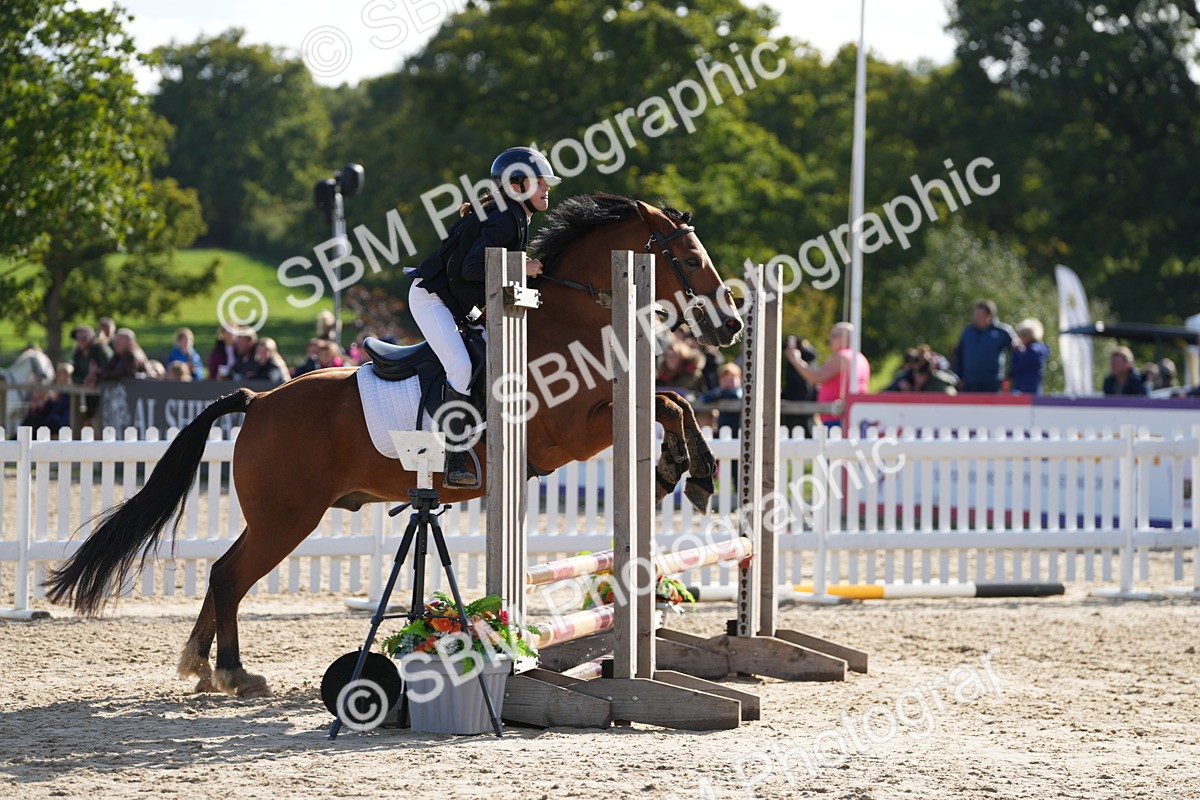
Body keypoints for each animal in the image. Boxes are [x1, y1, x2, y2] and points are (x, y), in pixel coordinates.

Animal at [44, 193, 744, 698]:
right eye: (689, 258)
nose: (733, 325)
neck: (561, 322)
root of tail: (261, 400)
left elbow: (673, 400)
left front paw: (688, 469)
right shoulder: (570, 432)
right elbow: (666, 402)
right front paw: (692, 472)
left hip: (279, 515)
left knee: (222, 575)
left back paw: (201, 666)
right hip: (287, 518)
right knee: (229, 575)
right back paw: (234, 672)